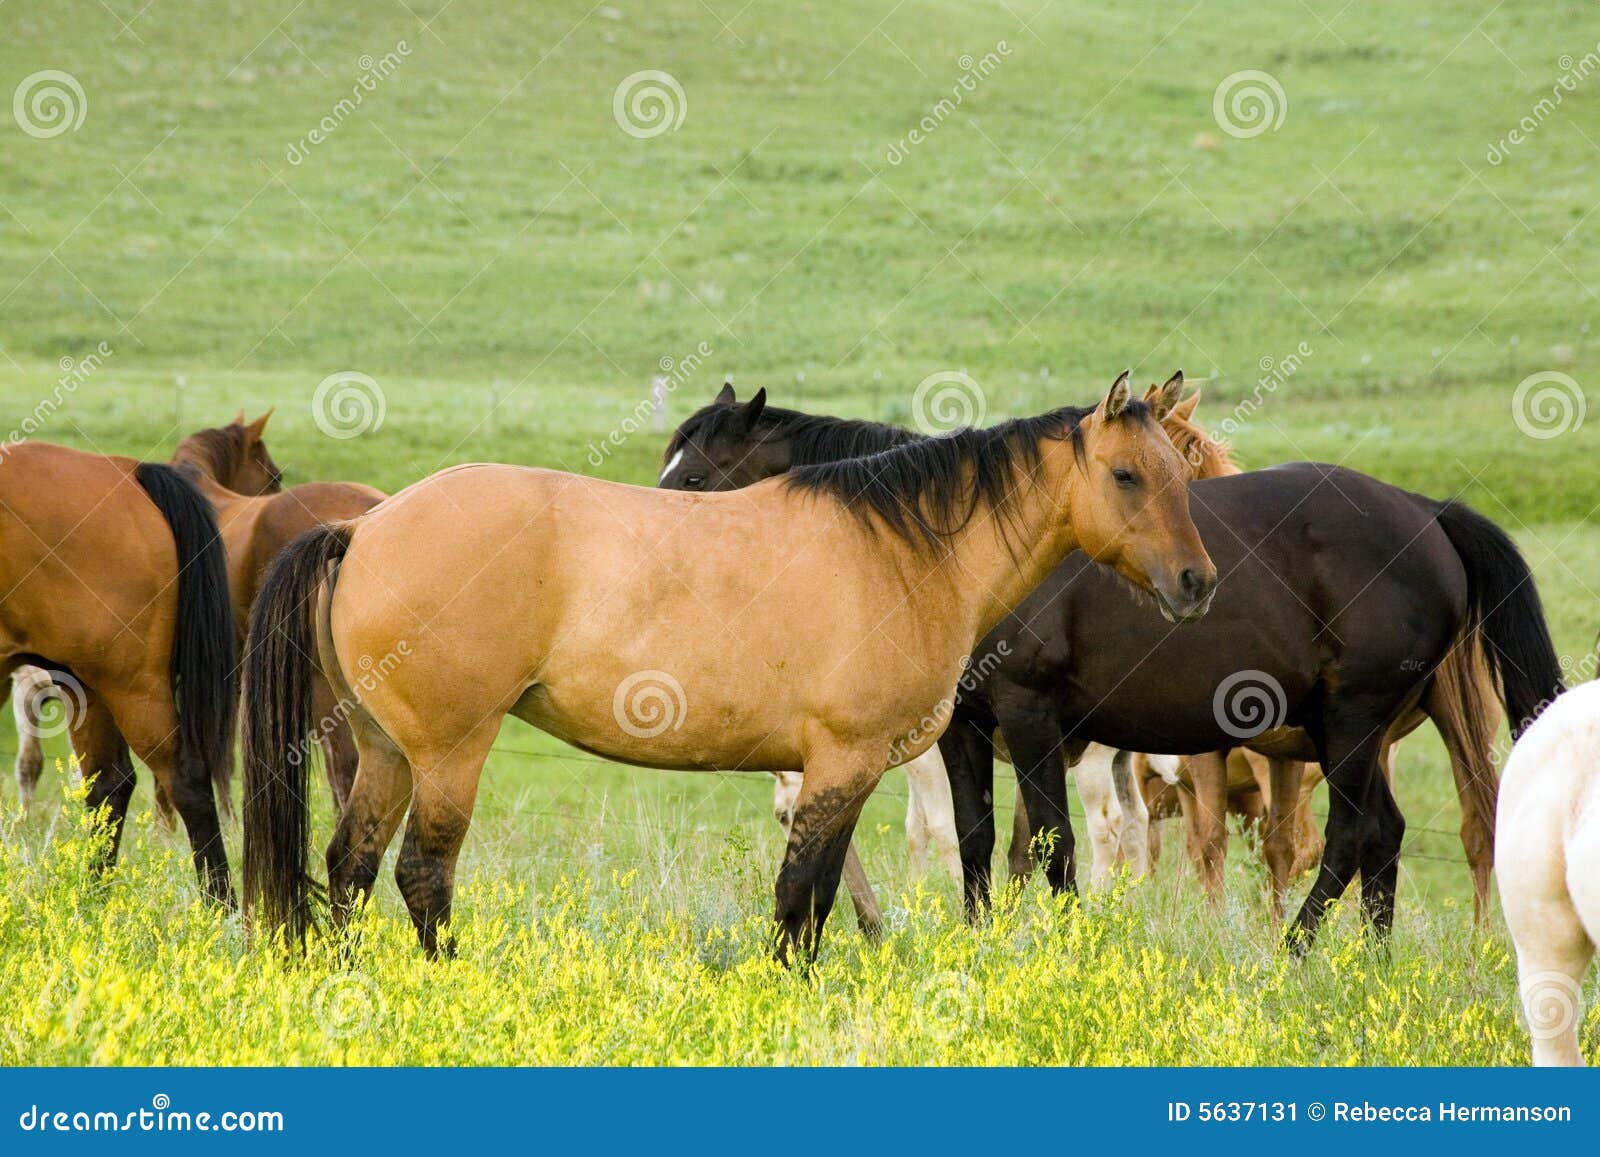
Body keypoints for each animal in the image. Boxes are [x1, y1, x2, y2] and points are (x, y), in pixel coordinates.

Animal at [0, 441, 236, 902]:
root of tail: (130, 474)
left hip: (132, 687)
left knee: (184, 780)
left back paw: (222, 907)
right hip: (87, 685)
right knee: (109, 783)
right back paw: (93, 899)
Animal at [239, 374, 1218, 961]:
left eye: (1180, 475)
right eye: (1127, 476)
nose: (1196, 582)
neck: (900, 552)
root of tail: (365, 527)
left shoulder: (850, 771)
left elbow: (816, 897)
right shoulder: (846, 761)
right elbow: (797, 897)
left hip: (386, 752)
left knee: (350, 864)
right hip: (448, 754)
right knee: (421, 874)